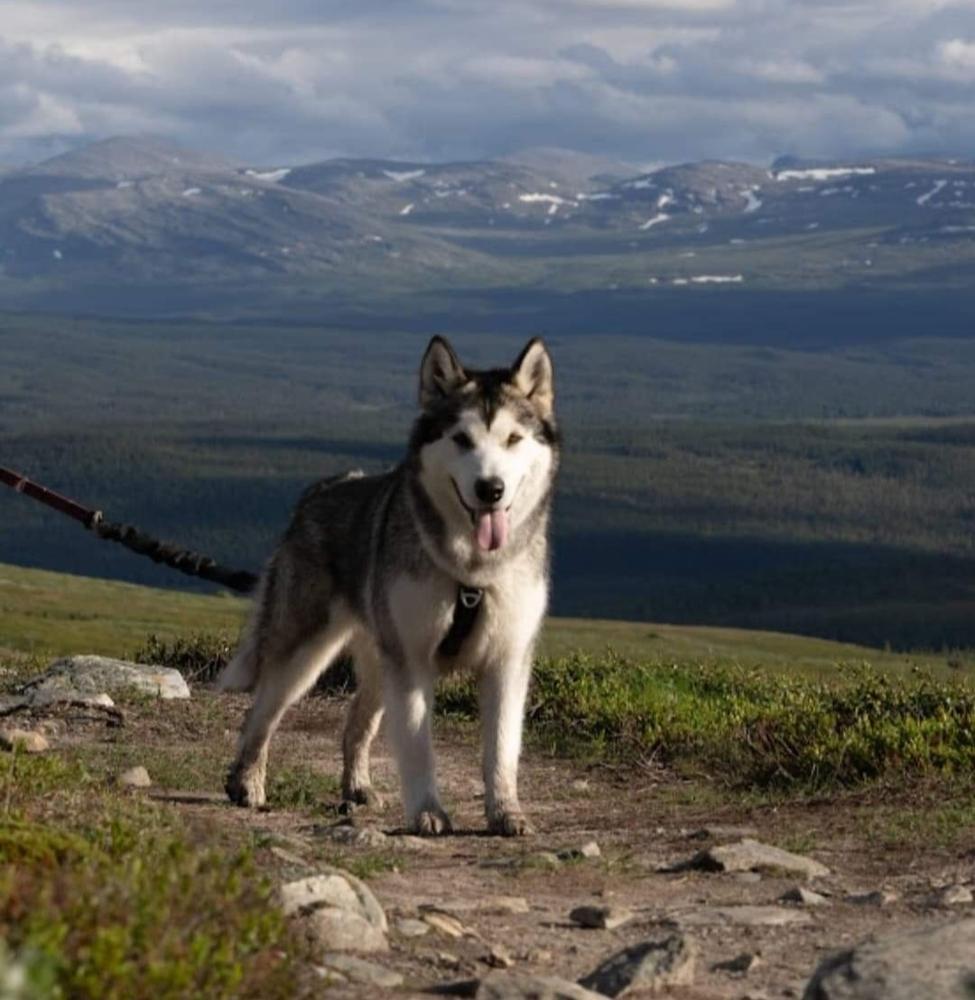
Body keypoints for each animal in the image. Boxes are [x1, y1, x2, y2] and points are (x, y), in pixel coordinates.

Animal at [217, 336, 560, 836]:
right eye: (461, 439)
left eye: (513, 439)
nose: (490, 488)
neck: (471, 572)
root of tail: (321, 489)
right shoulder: (412, 660)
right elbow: (417, 747)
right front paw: (427, 812)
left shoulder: (507, 660)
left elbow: (501, 749)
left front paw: (506, 812)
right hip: (306, 652)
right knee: (260, 713)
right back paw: (246, 783)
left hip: (380, 658)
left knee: (355, 723)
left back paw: (356, 788)